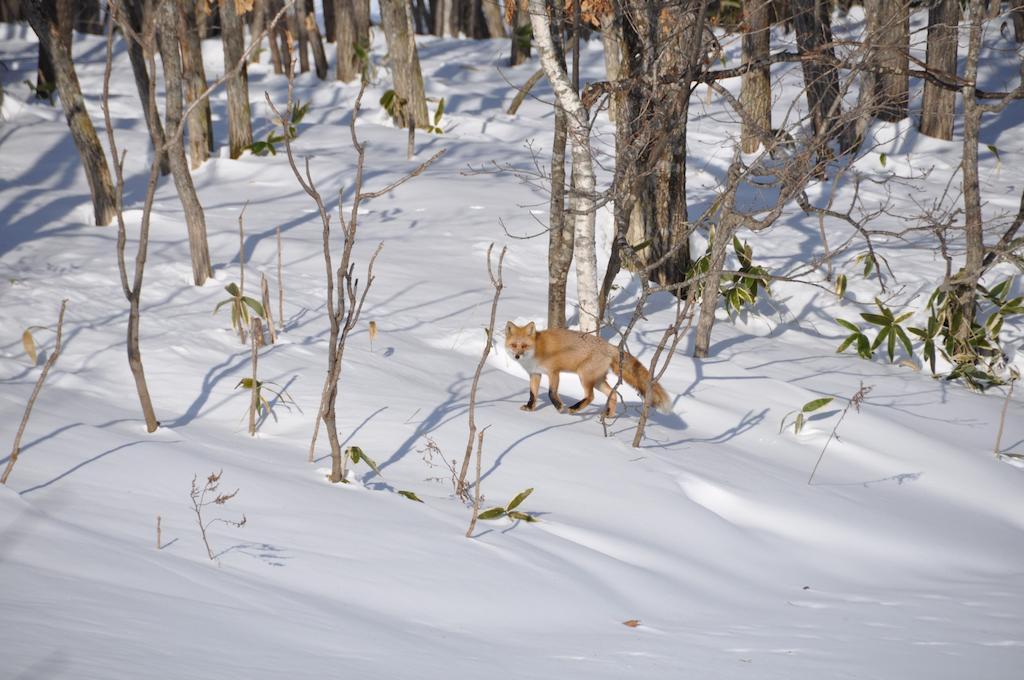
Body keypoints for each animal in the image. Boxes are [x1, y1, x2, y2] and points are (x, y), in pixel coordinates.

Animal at [503, 321, 671, 417]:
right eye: (514, 345)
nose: (517, 356)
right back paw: (609, 416)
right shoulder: (535, 373)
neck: (538, 349)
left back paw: (575, 409)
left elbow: (551, 393)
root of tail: (610, 346)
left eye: (524, 346)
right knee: (613, 394)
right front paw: (530, 408)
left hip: (584, 376)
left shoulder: (553, 372)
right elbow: (532, 394)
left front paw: (560, 407)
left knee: (590, 397)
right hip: (597, 381)